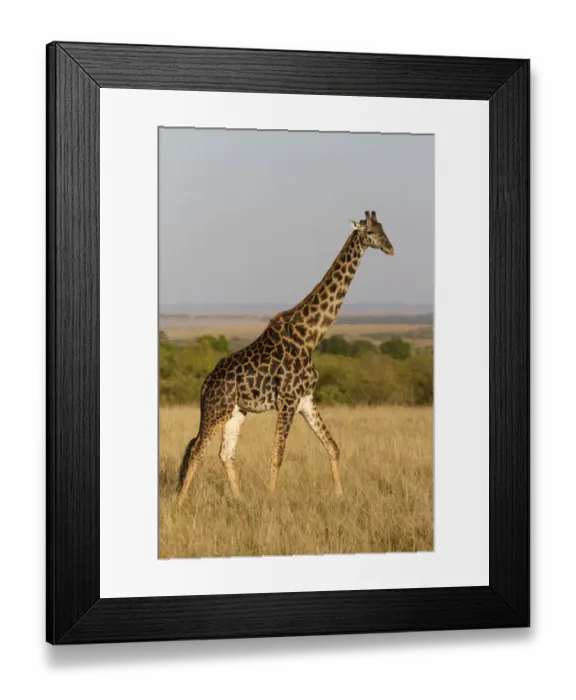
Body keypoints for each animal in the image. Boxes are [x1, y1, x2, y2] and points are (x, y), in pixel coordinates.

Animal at [176, 211, 394, 505]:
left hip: (236, 411)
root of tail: (206, 383)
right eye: (369, 232)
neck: (310, 336)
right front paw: (271, 499)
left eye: (383, 229)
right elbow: (277, 454)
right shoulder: (288, 399)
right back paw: (180, 501)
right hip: (217, 409)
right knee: (197, 448)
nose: (390, 248)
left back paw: (240, 500)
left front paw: (340, 496)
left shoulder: (306, 399)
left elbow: (333, 446)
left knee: (225, 453)